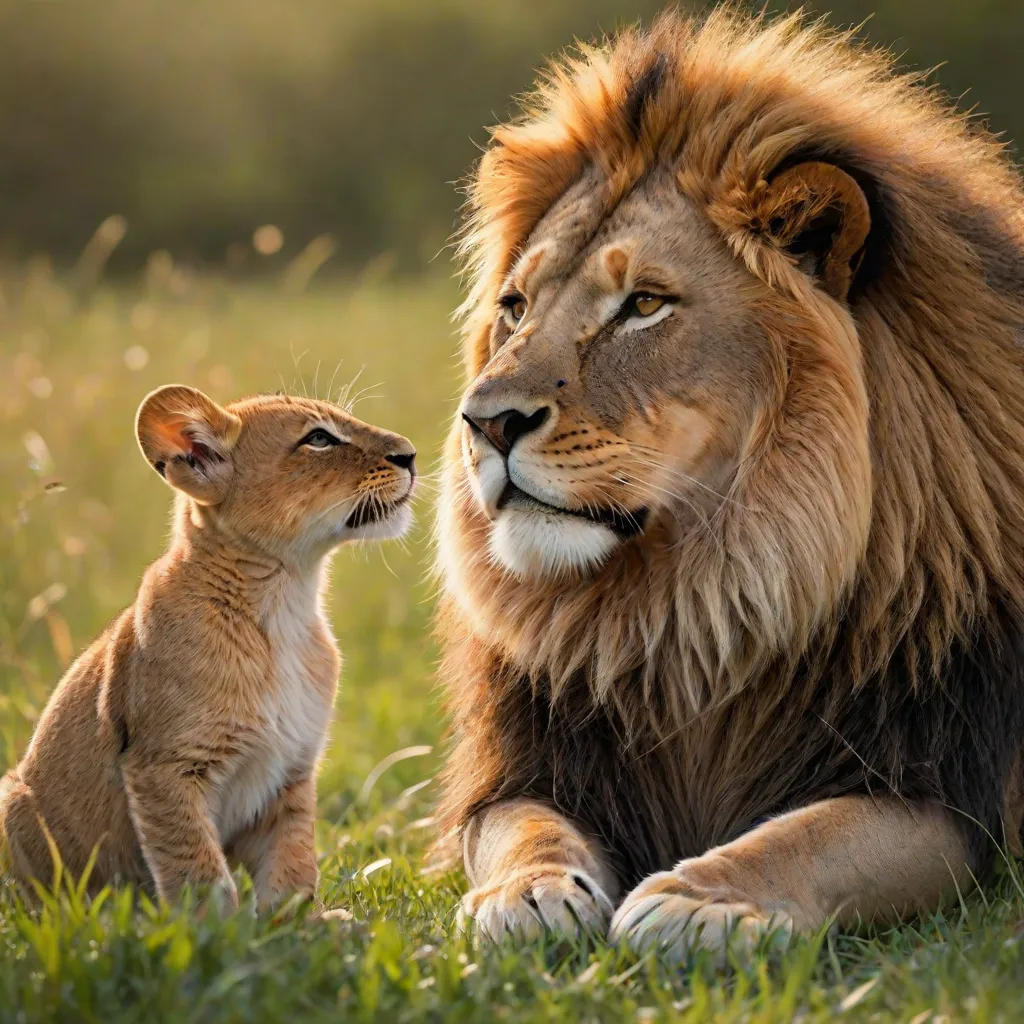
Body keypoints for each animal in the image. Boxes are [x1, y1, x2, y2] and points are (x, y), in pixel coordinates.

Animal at [434, 7, 1024, 962]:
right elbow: (523, 827)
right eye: (515, 307)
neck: (695, 602)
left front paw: (698, 899)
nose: (483, 423)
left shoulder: (947, 785)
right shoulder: (529, 763)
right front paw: (525, 895)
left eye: (643, 305)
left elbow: (811, 834)